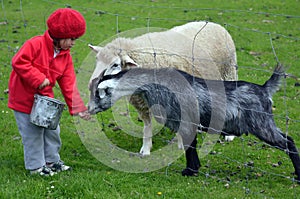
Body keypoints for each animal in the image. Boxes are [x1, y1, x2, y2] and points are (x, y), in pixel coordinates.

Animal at [88, 21, 238, 155]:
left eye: (115, 64)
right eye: (97, 60)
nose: (92, 83)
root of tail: (214, 24)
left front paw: (181, 144)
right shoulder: (141, 102)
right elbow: (147, 125)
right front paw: (146, 149)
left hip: (229, 72)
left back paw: (229, 134)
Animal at [89, 65, 300, 180]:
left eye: (98, 94)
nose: (88, 110)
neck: (155, 84)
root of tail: (264, 89)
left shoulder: (185, 122)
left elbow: (189, 147)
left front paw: (189, 171)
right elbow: (190, 146)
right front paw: (193, 168)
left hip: (262, 125)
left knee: (288, 141)